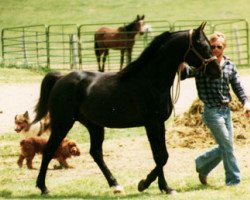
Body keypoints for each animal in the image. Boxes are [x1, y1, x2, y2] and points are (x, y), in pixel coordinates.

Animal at [33, 22, 221, 195]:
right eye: (203, 46)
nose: (217, 71)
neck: (151, 81)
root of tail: (61, 78)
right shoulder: (151, 123)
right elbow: (160, 156)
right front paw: (144, 184)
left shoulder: (159, 123)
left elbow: (162, 156)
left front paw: (165, 187)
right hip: (63, 123)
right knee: (49, 149)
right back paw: (43, 188)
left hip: (94, 126)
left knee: (96, 153)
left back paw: (115, 185)